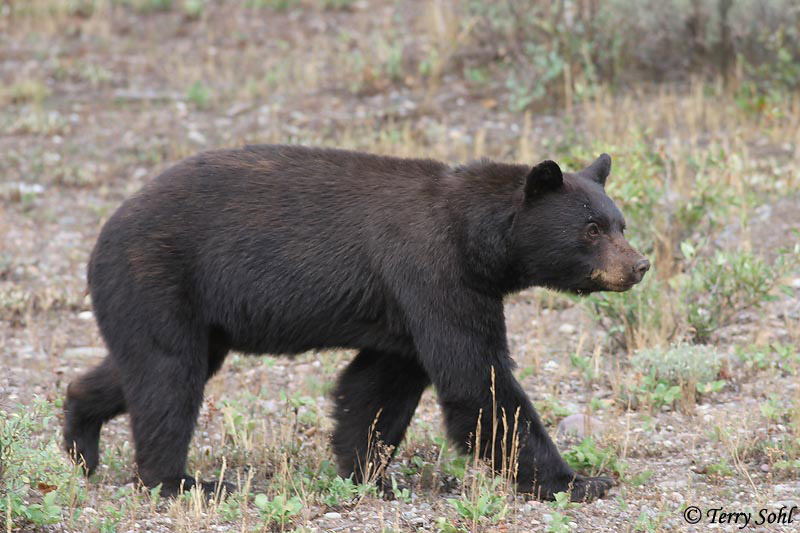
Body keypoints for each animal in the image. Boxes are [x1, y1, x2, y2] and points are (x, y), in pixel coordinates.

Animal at [63, 145, 649, 502]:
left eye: (619, 223)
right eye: (591, 229)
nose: (639, 265)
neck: (474, 238)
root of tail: (104, 231)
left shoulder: (408, 309)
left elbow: (378, 385)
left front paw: (365, 470)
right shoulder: (432, 273)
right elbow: (475, 380)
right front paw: (578, 480)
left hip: (186, 312)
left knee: (140, 369)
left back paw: (79, 441)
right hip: (159, 277)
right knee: (167, 375)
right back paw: (182, 481)